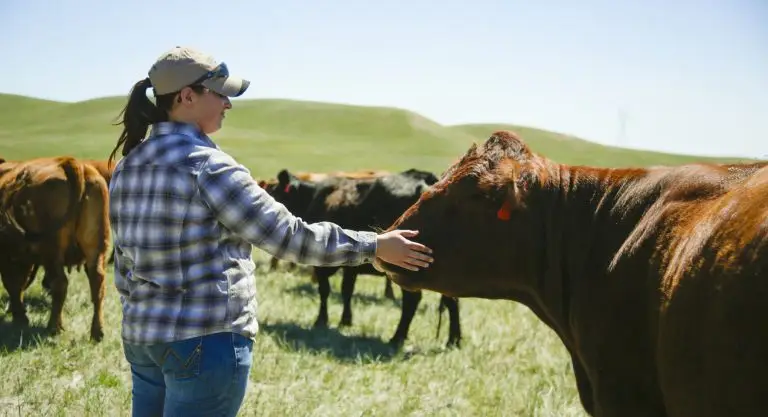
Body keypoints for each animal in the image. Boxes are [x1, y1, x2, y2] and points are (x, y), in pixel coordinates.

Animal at [0, 156, 110, 341]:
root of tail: (70, 163)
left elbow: (13, 284)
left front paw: (20, 317)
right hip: (96, 249)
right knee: (98, 282)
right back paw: (98, 332)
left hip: (51, 252)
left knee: (60, 283)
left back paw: (54, 327)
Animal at [294, 168, 460, 349]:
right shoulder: (350, 267)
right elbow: (347, 290)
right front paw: (345, 321)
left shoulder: (322, 267)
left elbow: (325, 290)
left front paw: (321, 321)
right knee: (452, 300)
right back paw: (453, 340)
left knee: (412, 300)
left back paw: (398, 337)